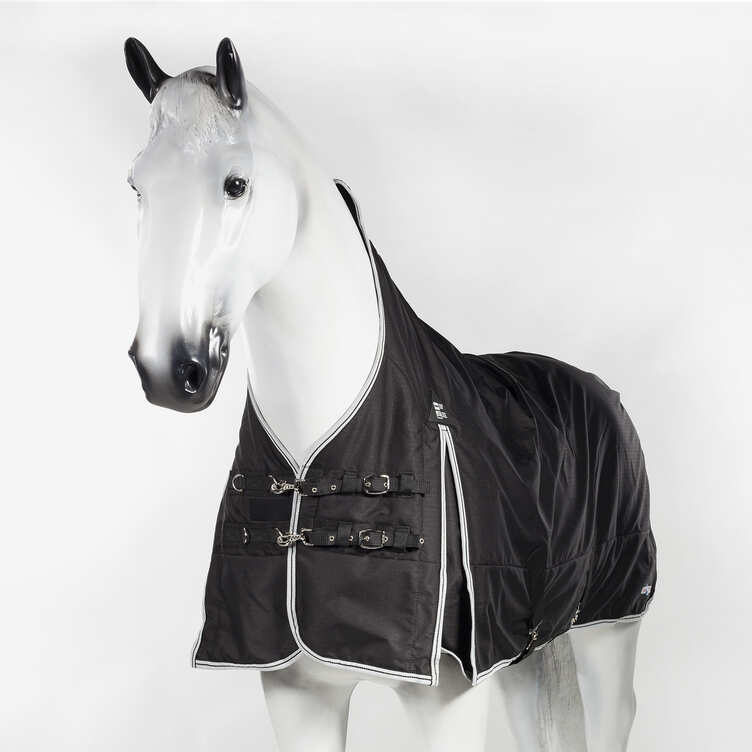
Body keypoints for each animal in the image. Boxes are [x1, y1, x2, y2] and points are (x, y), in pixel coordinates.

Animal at [124, 37, 655, 752]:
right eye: (138, 186)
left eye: (235, 184)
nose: (167, 369)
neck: (316, 440)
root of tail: (603, 393)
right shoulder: (297, 695)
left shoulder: (447, 699)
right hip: (526, 650)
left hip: (611, 627)